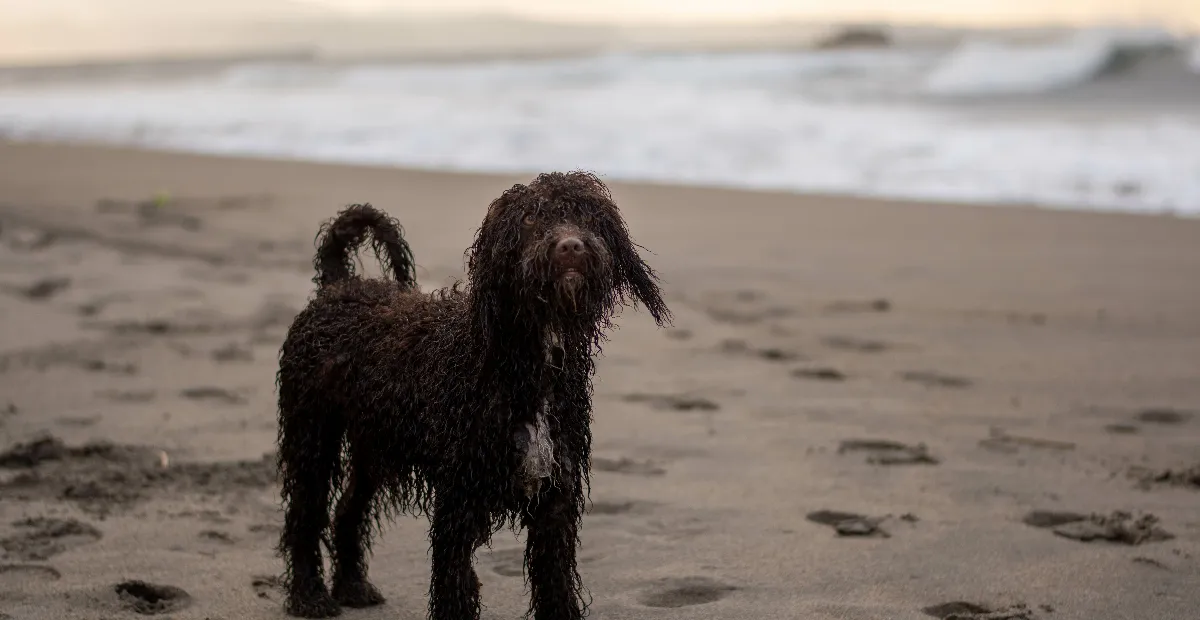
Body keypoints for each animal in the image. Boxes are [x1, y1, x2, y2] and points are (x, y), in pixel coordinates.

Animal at [274, 170, 667, 618]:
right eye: (530, 219)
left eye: (587, 216)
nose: (570, 246)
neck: (516, 361)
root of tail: (338, 285)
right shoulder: (458, 504)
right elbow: (454, 588)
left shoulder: (555, 502)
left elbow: (556, 588)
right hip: (312, 434)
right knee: (305, 515)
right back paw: (309, 594)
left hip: (374, 444)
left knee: (347, 509)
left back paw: (353, 585)